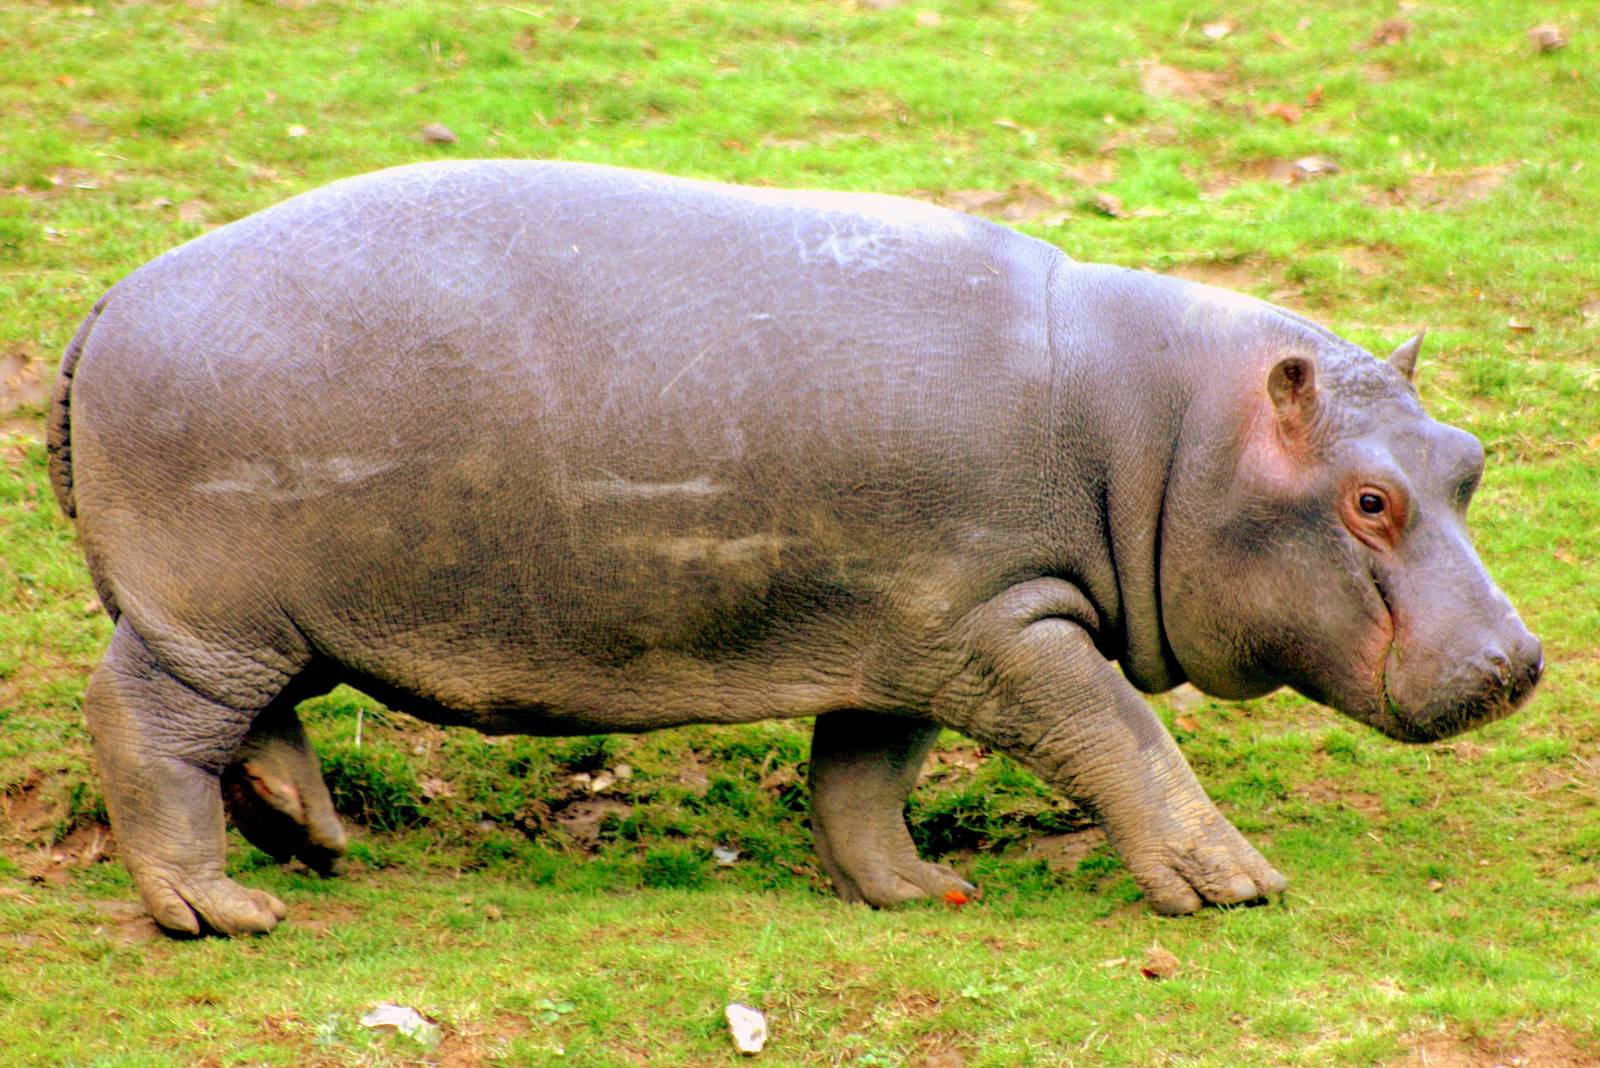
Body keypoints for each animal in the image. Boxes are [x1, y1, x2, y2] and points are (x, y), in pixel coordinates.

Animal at [47, 161, 1542, 936]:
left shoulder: (922, 626)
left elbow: (863, 779)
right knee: (147, 724)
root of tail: (108, 298)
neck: (1167, 437)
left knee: (256, 726)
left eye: (1467, 458)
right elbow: (1121, 733)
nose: (1520, 661)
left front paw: (919, 892)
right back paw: (225, 911)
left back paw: (313, 841)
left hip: (266, 614)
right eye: (1369, 502)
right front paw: (1233, 885)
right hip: (210, 610)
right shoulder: (1010, 622)